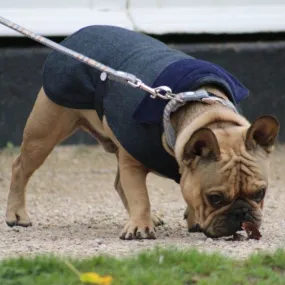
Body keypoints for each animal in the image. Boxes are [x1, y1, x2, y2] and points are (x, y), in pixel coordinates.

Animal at [5, 25, 278, 239]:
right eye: (216, 198)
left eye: (260, 193)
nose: (241, 212)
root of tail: (74, 36)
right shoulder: (133, 163)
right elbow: (139, 195)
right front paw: (140, 226)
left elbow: (181, 194)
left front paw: (192, 220)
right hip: (45, 131)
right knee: (21, 167)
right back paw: (16, 214)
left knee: (118, 183)